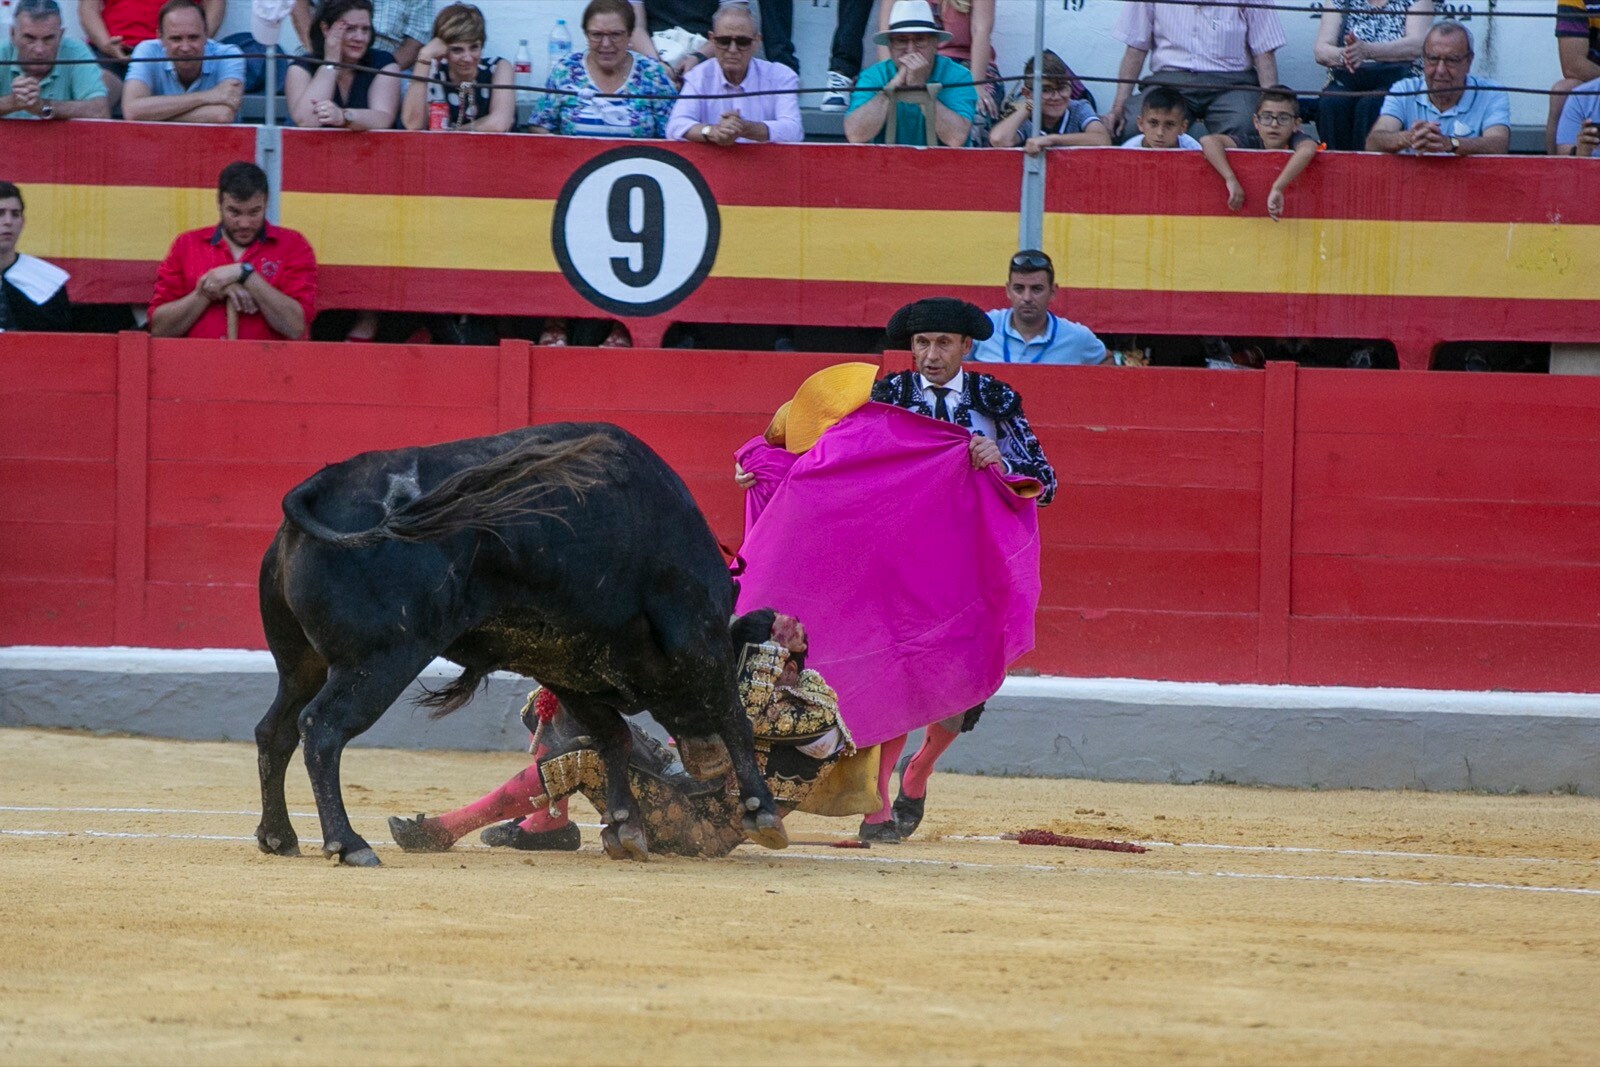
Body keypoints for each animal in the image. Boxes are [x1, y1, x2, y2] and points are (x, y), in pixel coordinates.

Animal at [251, 422, 793, 863]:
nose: (706, 763)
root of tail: (324, 485)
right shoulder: (698, 641)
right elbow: (735, 717)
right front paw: (762, 812)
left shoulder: (565, 663)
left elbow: (612, 736)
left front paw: (625, 827)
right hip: (379, 661)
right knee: (322, 728)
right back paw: (348, 844)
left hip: (302, 664)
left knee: (274, 731)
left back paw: (278, 836)